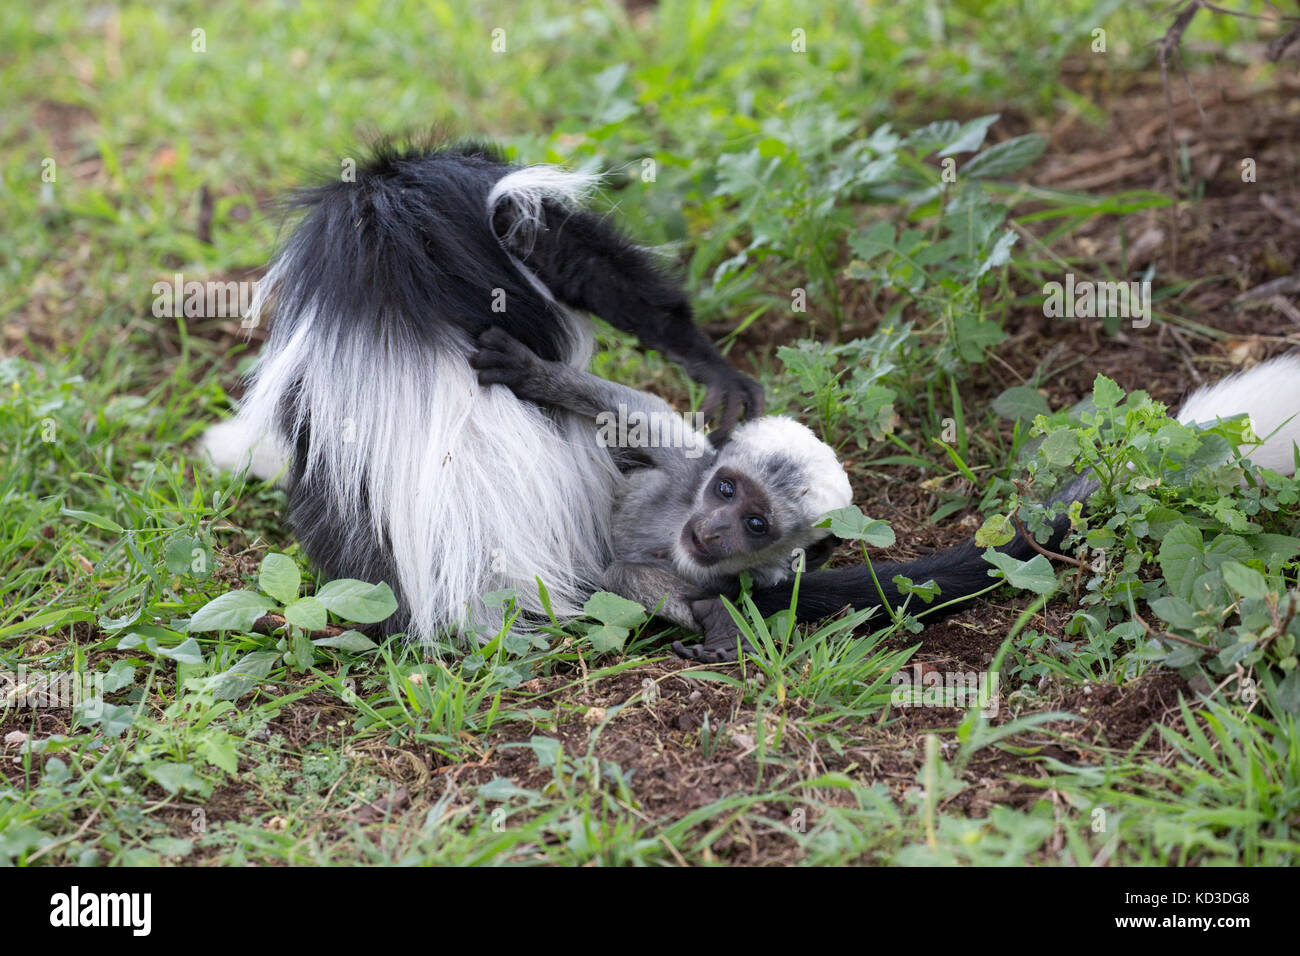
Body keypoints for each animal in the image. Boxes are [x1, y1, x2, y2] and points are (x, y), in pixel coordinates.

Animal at [467, 325, 852, 647]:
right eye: (726, 489)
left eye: (755, 524)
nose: (713, 529)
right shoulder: (689, 469)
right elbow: (639, 412)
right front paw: (534, 372)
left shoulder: (741, 580)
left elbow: (627, 577)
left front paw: (721, 621)